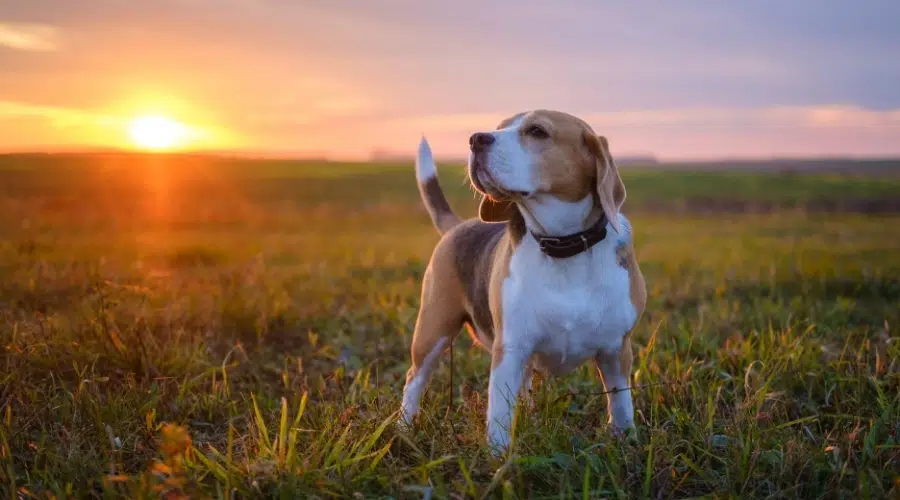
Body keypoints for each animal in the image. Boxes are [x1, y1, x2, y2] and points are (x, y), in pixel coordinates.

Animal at [398, 109, 644, 454]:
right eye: (499, 128)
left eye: (537, 131)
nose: (475, 139)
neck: (563, 246)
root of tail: (458, 226)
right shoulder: (511, 348)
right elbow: (499, 411)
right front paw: (498, 458)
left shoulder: (616, 349)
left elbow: (621, 403)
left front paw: (626, 441)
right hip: (433, 330)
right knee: (414, 379)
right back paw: (402, 428)